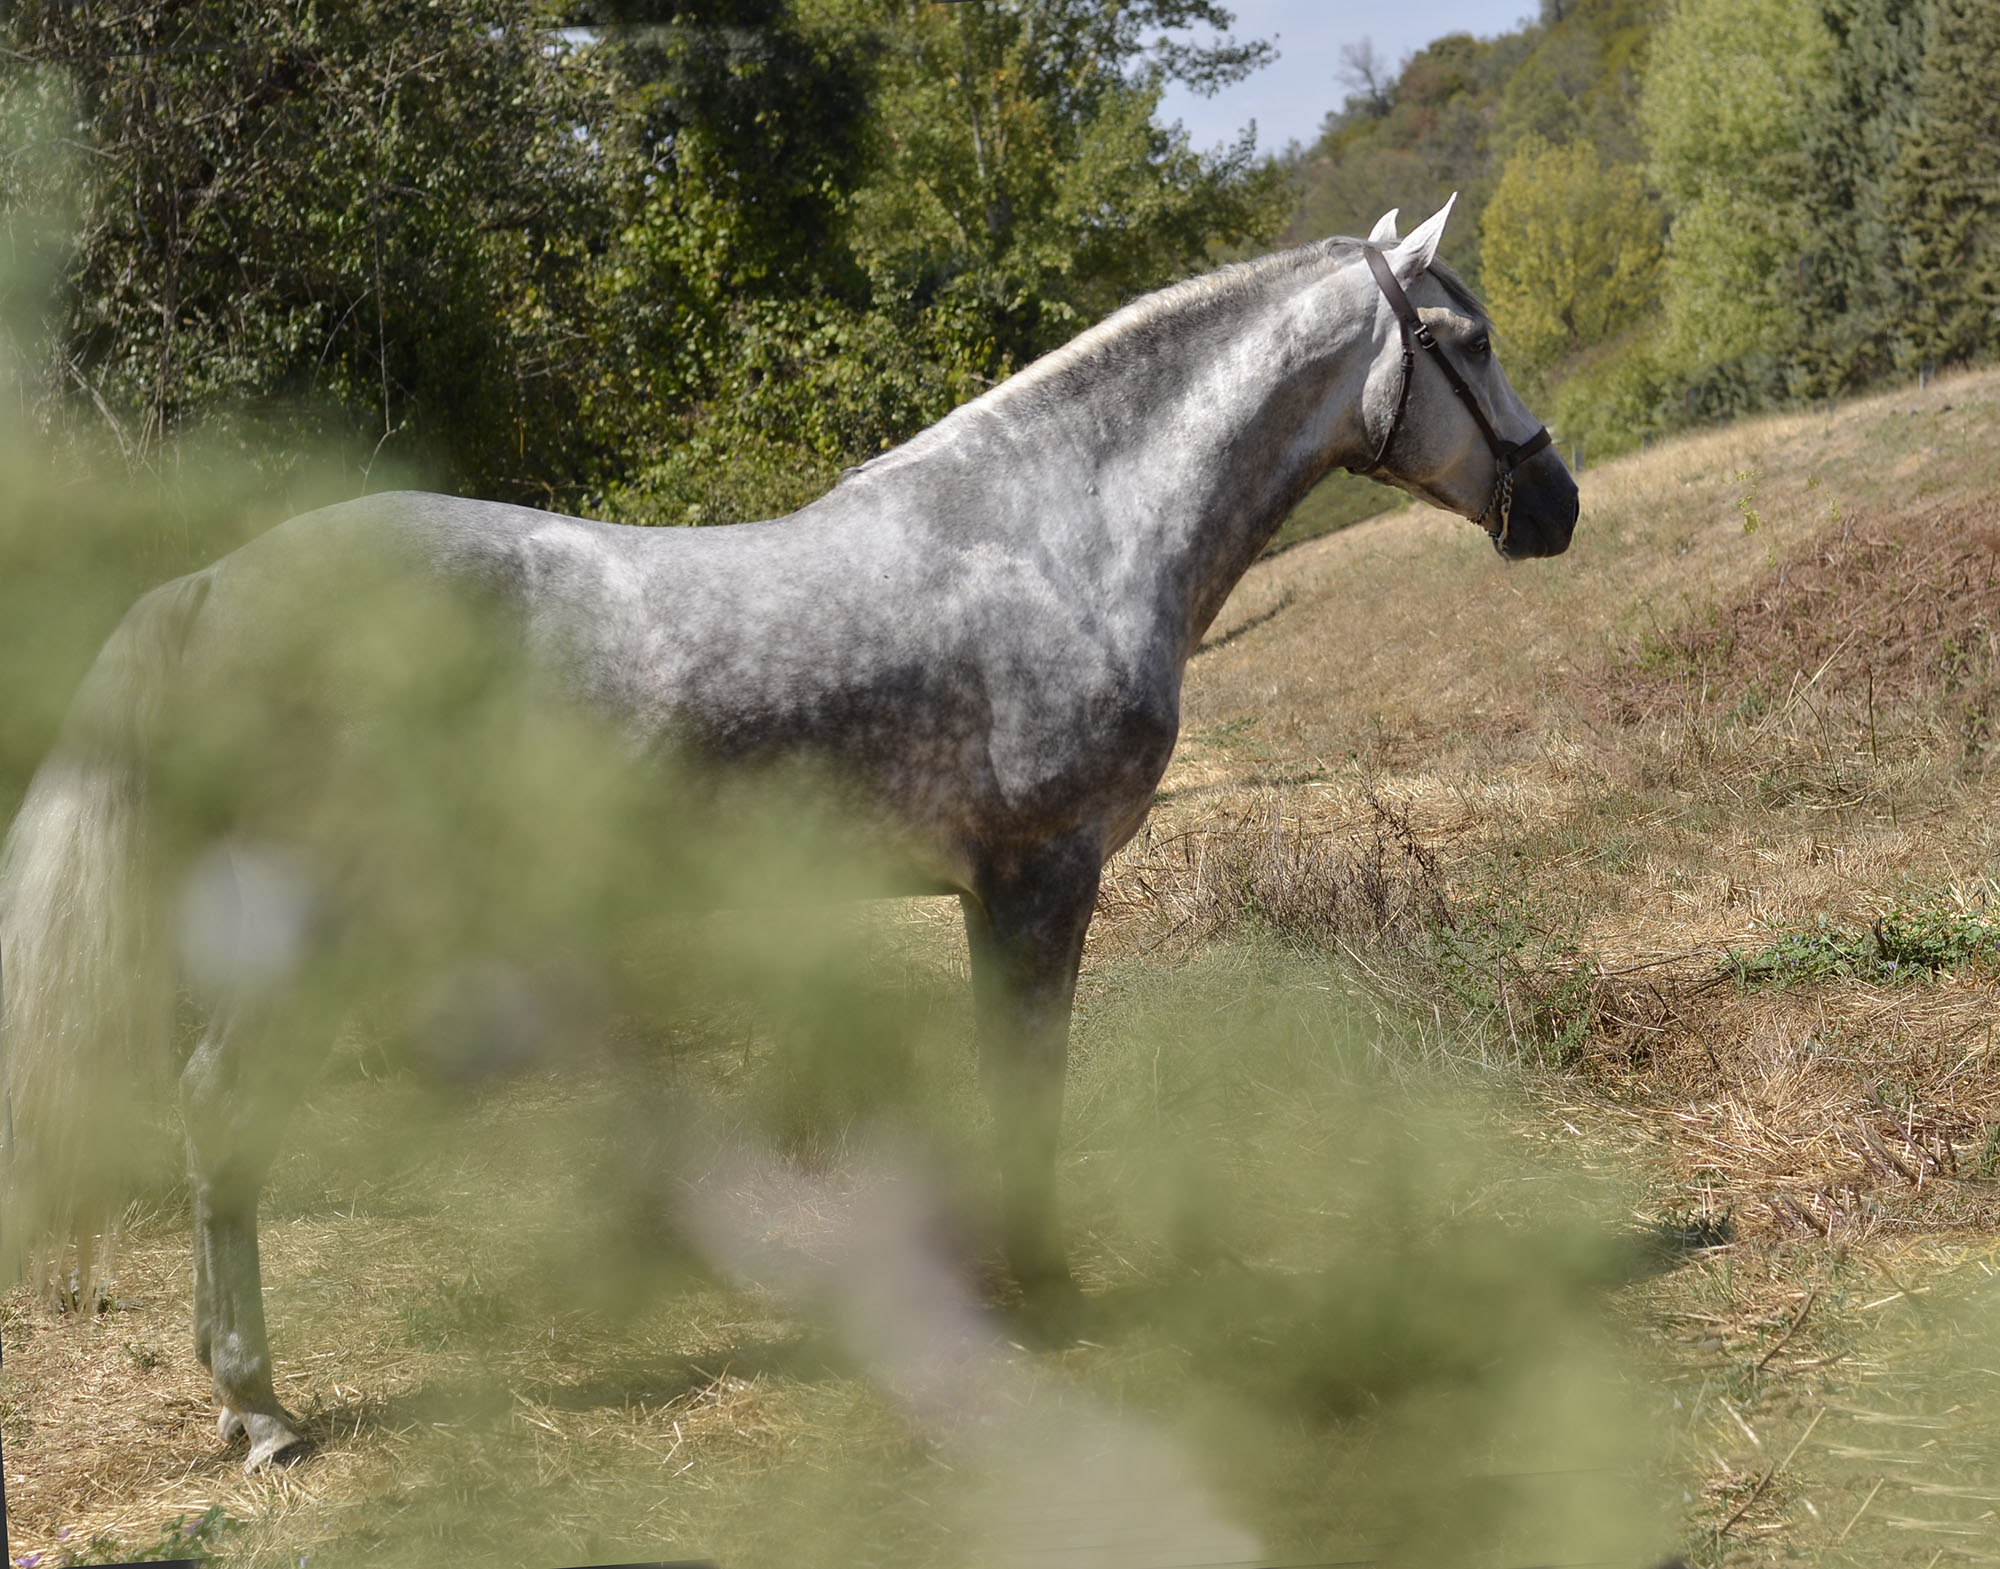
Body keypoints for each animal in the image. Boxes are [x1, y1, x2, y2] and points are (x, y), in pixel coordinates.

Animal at [3, 199, 1576, 1472]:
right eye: (1467, 338)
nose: (1554, 504)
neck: (1055, 539)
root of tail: (220, 582)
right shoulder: (1042, 878)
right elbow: (1030, 1080)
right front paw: (1043, 1284)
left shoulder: (985, 894)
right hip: (314, 920)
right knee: (222, 1116)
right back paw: (261, 1410)